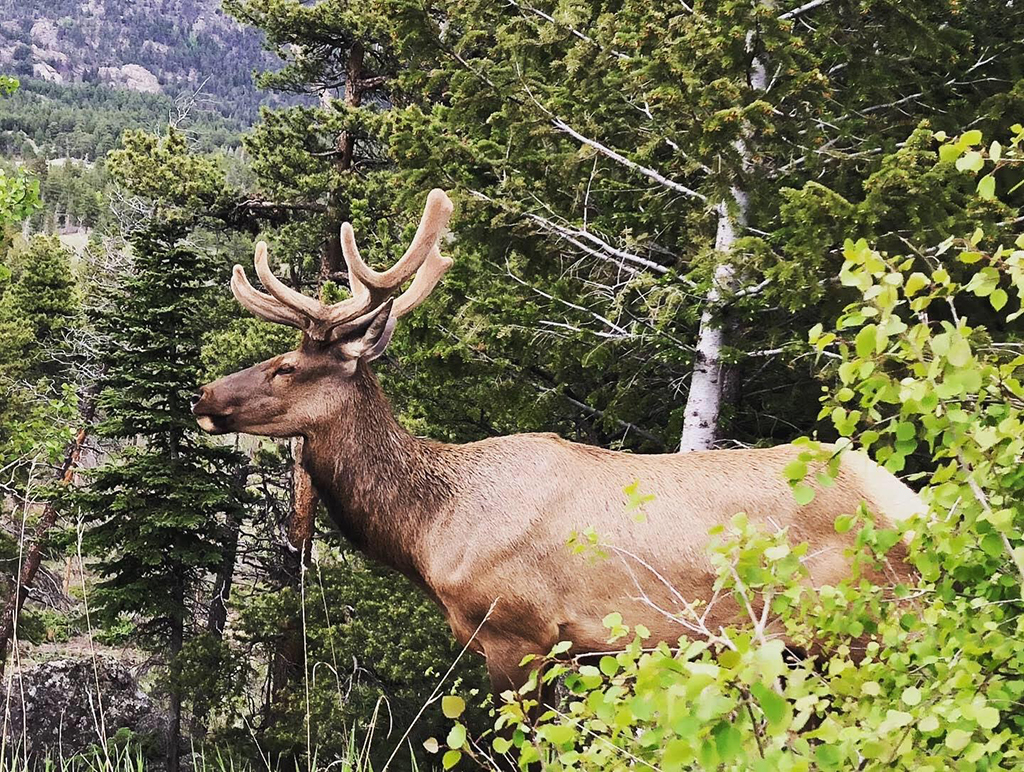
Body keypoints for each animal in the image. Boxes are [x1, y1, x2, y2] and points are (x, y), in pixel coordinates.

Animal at [192, 189, 923, 698]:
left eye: (287, 367)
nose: (203, 397)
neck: (431, 531)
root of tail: (917, 508)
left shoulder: (519, 632)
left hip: (858, 626)